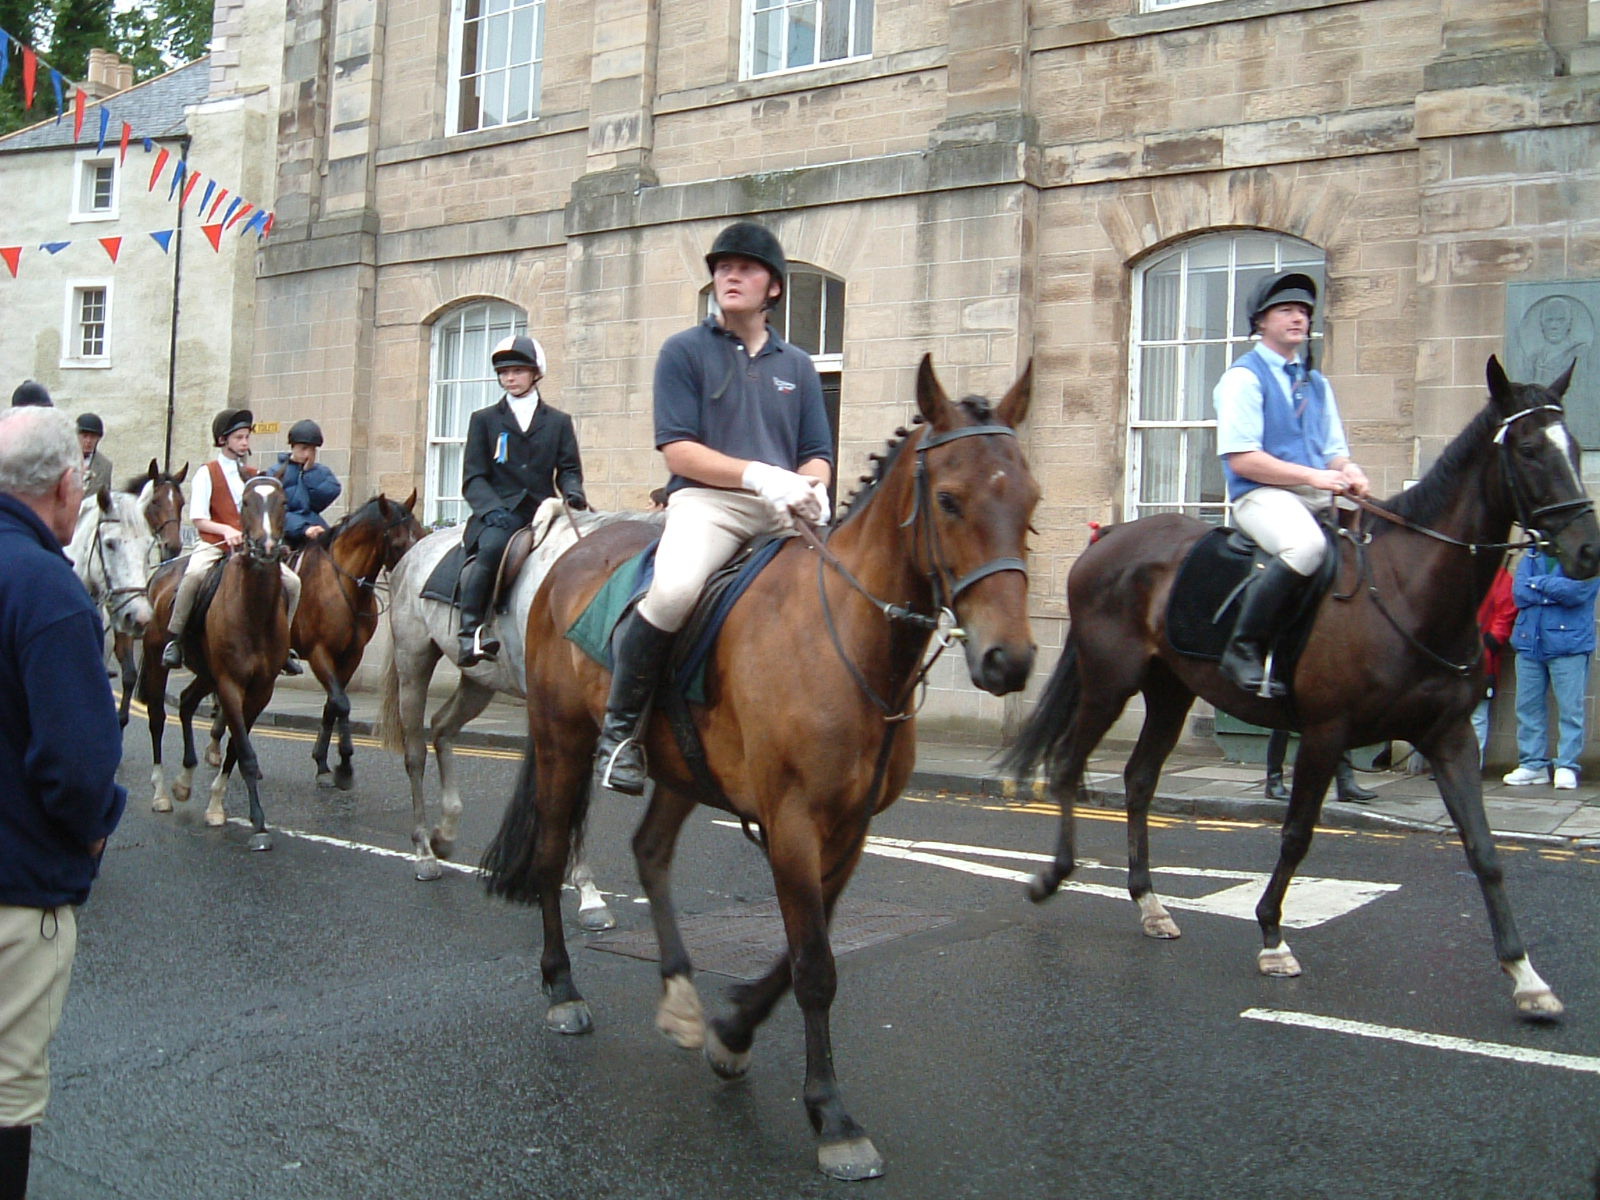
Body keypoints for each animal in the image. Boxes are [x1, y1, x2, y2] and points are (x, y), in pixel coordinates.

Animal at [142, 473, 292, 851]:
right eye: (245, 502)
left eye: (283, 502)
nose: (266, 548)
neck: (254, 611)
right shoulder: (230, 685)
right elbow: (245, 753)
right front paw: (259, 826)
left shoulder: (260, 691)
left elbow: (237, 751)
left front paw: (216, 807)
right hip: (157, 663)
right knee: (156, 718)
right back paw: (161, 792)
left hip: (206, 674)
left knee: (185, 702)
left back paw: (184, 781)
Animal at [203, 492, 422, 793]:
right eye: (399, 543)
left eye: (422, 535)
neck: (343, 584)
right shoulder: (320, 652)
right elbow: (341, 703)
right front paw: (344, 766)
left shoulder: (351, 656)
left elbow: (332, 706)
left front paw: (323, 764)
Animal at [376, 499, 649, 921]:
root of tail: (414, 551)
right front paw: (577, 889)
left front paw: (585, 890)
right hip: (413, 663)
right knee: (415, 753)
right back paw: (424, 851)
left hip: (480, 681)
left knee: (442, 727)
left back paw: (445, 833)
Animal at [480, 360, 1043, 1184]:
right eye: (949, 499)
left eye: (1030, 501)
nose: (1010, 662)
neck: (847, 635)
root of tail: (570, 558)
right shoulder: (794, 823)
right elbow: (814, 966)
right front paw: (832, 1116)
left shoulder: (846, 830)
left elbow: (803, 953)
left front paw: (733, 1032)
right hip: (561, 741)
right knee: (554, 853)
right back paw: (561, 989)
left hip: (681, 768)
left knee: (650, 853)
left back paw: (680, 994)